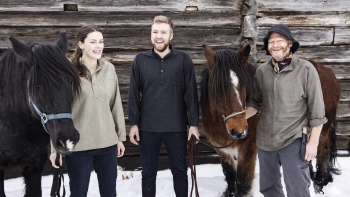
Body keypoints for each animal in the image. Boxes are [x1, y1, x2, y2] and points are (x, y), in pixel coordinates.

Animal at [201, 43, 340, 196]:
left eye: (243, 85)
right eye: (217, 90)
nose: (239, 131)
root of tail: (329, 72)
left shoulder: (248, 147)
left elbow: (243, 179)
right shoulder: (221, 149)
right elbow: (230, 175)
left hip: (322, 128)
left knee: (323, 149)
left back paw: (320, 184)